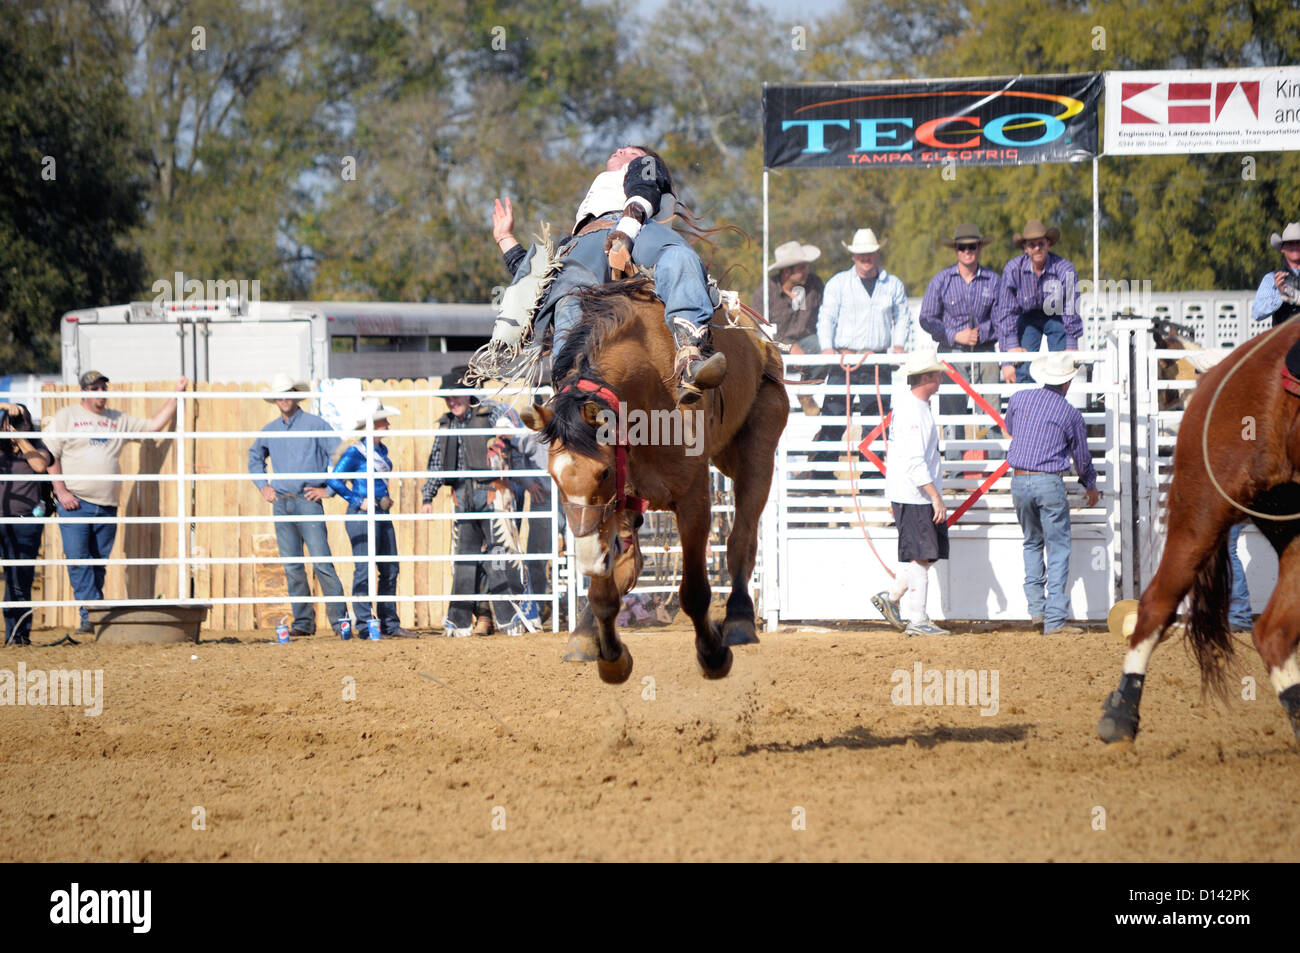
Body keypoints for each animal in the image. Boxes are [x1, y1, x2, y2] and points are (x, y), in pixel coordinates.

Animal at [520, 271, 785, 681]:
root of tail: (759, 339)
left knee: (741, 537)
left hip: (759, 442)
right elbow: (605, 590)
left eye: (603, 471)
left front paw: (713, 655)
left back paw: (740, 620)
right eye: (554, 476)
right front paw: (609, 656)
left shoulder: (693, 498)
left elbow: (694, 591)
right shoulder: (611, 507)